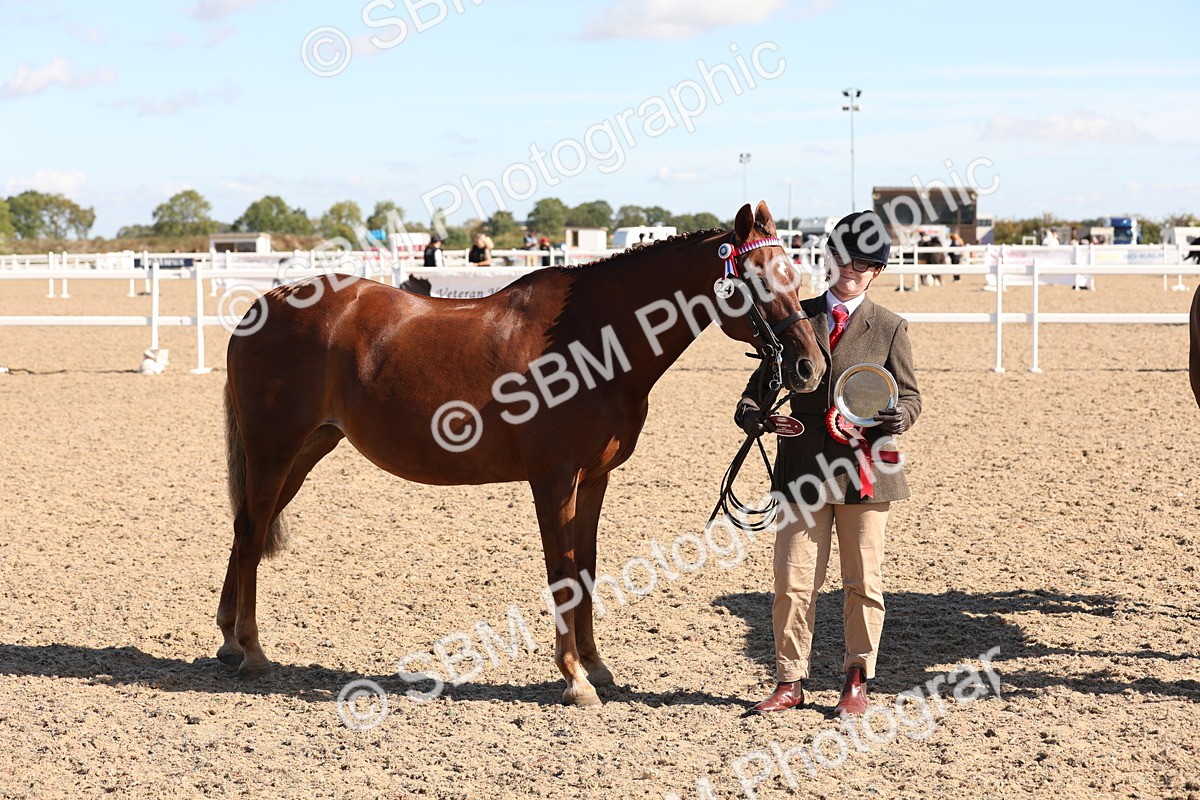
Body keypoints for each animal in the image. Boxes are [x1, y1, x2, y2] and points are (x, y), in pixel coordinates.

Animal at [217, 201, 826, 706]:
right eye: (755, 278)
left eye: (794, 273)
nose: (809, 367)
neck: (591, 341)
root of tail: (265, 303)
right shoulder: (553, 478)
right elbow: (562, 571)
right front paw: (575, 680)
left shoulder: (594, 479)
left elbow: (587, 567)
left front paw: (596, 667)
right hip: (274, 449)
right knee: (250, 533)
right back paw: (252, 651)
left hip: (306, 449)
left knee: (248, 527)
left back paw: (228, 641)